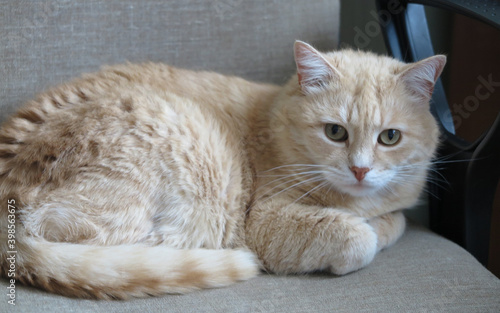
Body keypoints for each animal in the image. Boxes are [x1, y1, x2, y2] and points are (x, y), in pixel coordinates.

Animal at [0, 40, 446, 298]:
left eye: (390, 137)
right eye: (335, 132)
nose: (360, 170)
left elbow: (395, 218)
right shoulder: (264, 221)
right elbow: (360, 236)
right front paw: (369, 230)